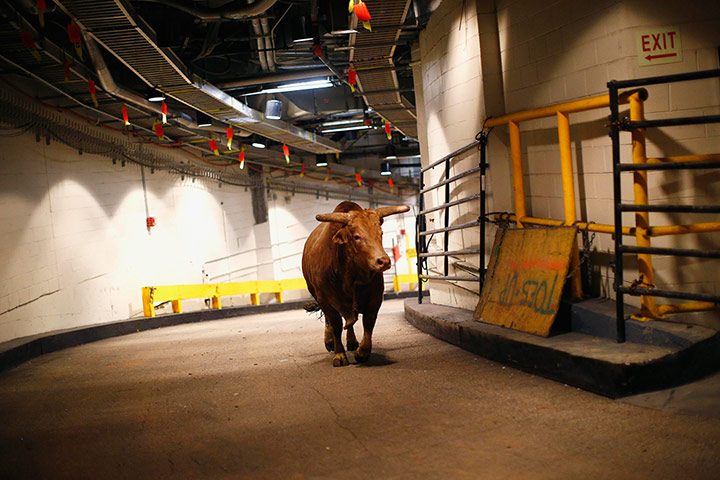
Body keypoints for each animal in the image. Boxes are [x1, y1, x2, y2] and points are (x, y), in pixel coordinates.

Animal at [302, 201, 410, 367]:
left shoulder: (375, 297)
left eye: (381, 233)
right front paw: (339, 354)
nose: (384, 261)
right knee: (330, 320)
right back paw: (329, 341)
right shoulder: (325, 298)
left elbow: (368, 322)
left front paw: (362, 352)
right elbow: (335, 324)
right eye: (357, 236)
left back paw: (352, 342)